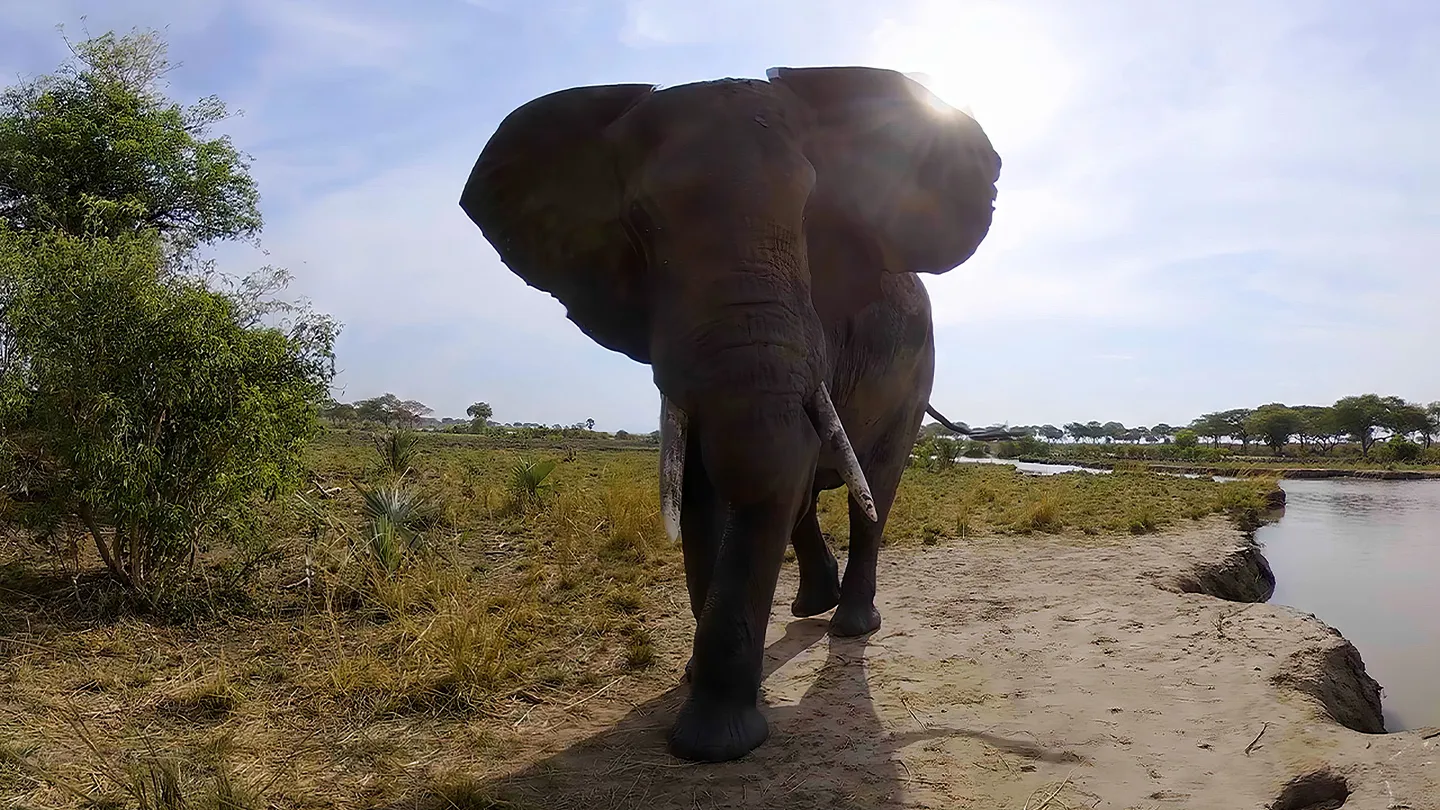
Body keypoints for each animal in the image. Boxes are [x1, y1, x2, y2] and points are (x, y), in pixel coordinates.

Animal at [458, 65, 1001, 762]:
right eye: (640, 225)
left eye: (811, 217)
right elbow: (701, 486)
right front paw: (700, 691)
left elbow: (775, 468)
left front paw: (715, 740)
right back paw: (809, 608)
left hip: (914, 375)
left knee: (871, 491)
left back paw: (851, 626)